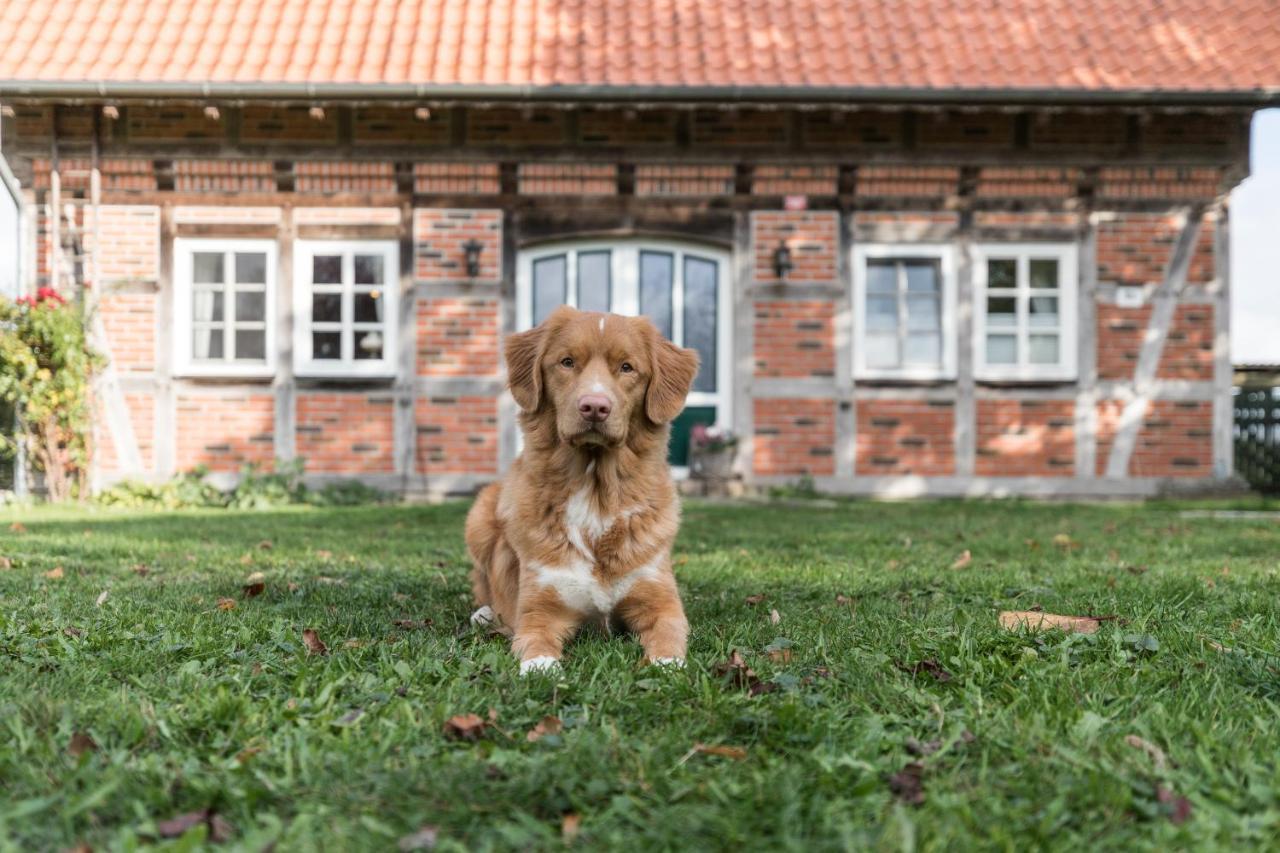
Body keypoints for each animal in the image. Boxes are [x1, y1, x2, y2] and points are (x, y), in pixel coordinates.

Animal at [463, 306, 701, 671]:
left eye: (627, 367)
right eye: (567, 362)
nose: (594, 407)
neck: (596, 493)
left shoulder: (660, 603)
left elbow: (668, 643)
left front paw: (666, 667)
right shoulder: (540, 610)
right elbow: (536, 647)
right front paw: (542, 670)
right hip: (480, 515)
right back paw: (485, 614)